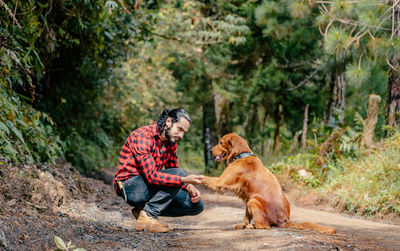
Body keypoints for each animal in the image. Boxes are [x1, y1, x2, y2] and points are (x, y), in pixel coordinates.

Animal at [202, 132, 336, 234]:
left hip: (254, 201)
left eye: (220, 142)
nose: (209, 150)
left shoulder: (222, 181)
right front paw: (242, 224)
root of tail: (283, 220)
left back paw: (252, 226)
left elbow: (205, 178)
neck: (241, 155)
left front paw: (198, 178)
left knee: (264, 226)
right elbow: (246, 215)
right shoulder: (247, 197)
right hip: (251, 200)